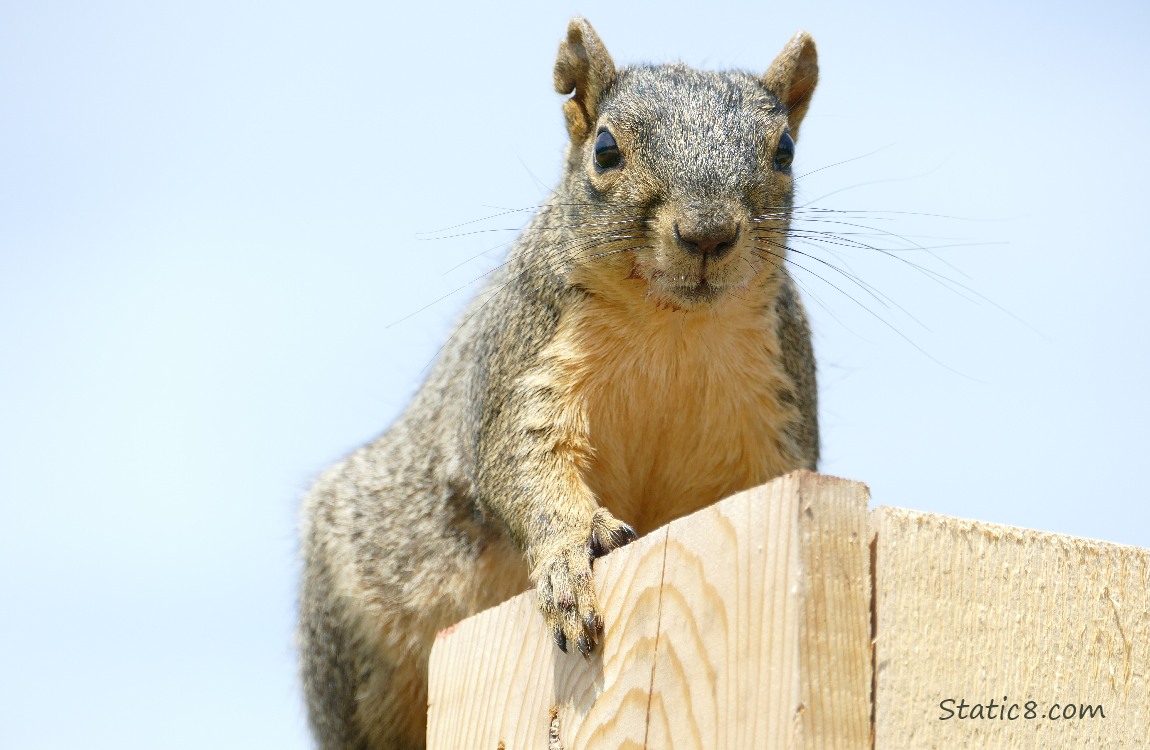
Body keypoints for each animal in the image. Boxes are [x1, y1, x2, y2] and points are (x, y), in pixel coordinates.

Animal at [299, 17, 820, 750]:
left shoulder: (776, 406)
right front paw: (572, 556)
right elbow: (523, 466)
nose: (707, 233)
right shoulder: (529, 359)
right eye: (604, 149)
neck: (672, 327)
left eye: (785, 151)